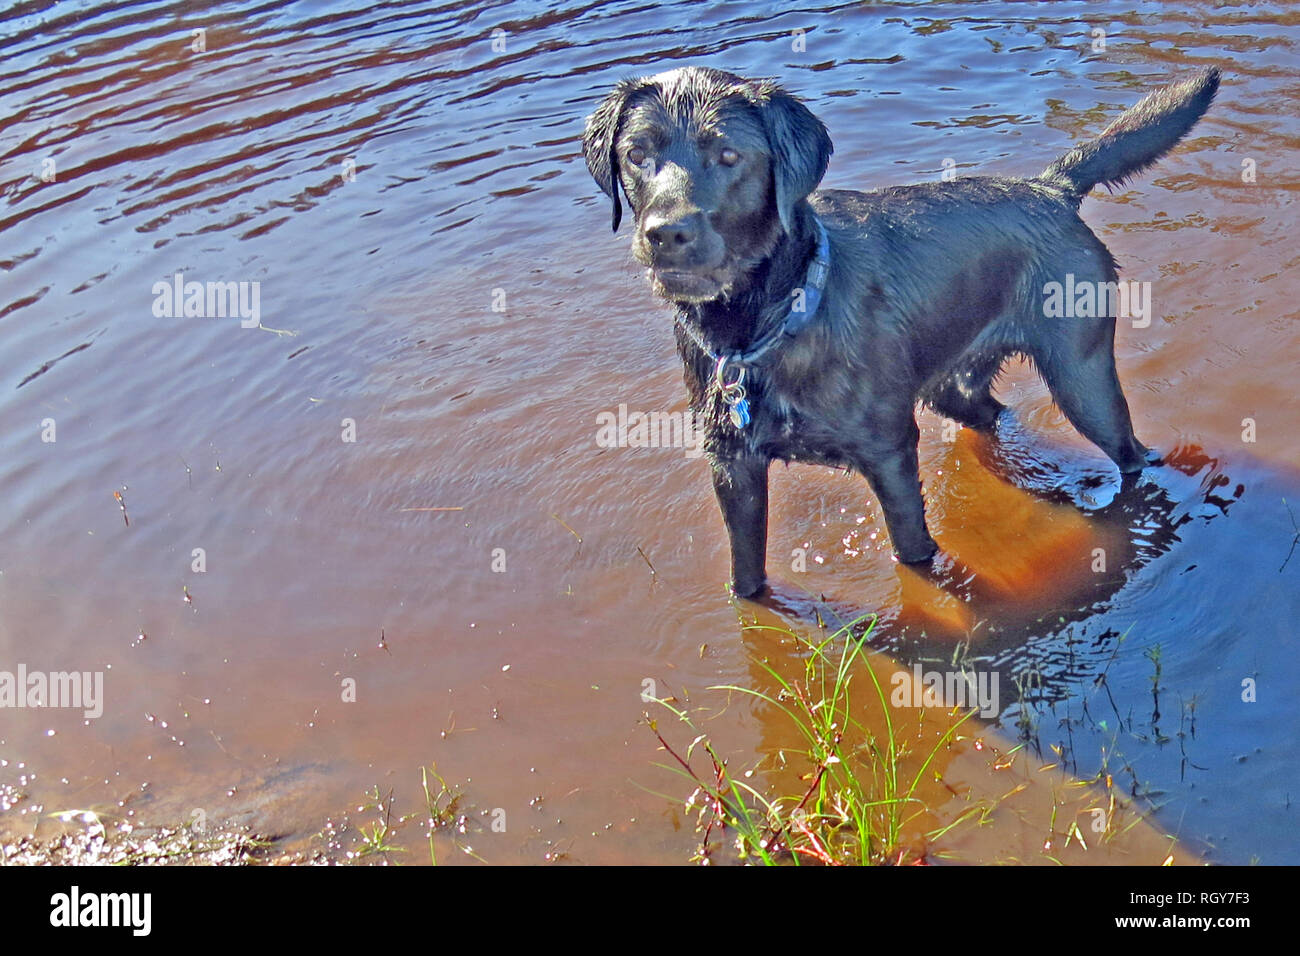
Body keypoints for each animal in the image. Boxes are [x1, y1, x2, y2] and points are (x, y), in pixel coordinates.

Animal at [585, 65, 1222, 598]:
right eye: (636, 154)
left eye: (727, 153)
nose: (666, 233)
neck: (767, 326)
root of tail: (1051, 189)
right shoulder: (731, 467)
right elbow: (747, 581)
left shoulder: (890, 452)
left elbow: (914, 554)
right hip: (952, 385)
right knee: (988, 411)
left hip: (1083, 379)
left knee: (1132, 452)